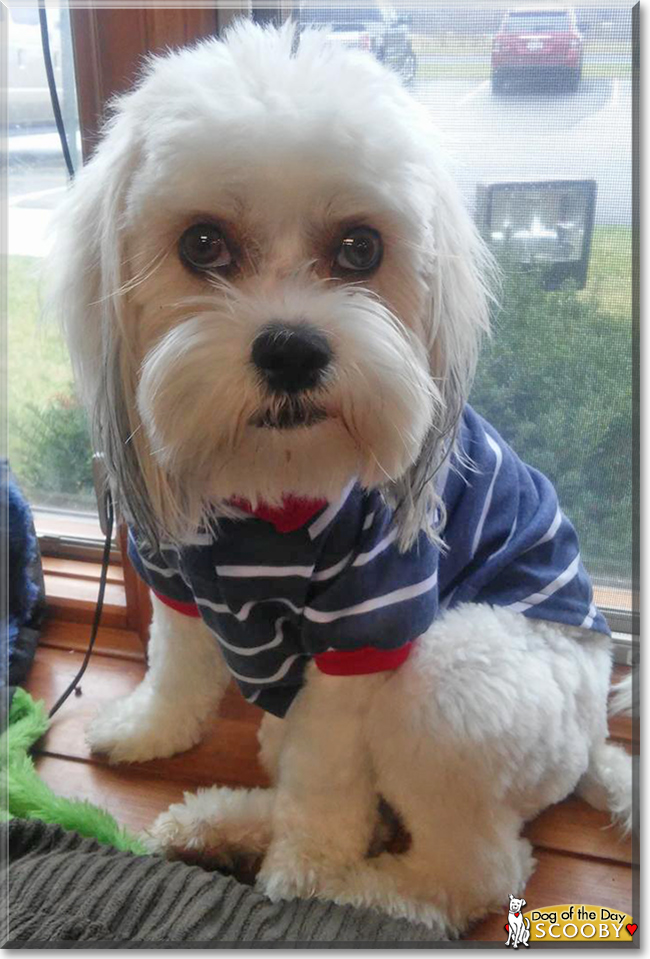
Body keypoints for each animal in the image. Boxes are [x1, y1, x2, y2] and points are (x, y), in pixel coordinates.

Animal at [49, 20, 628, 936]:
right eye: (202, 243)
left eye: (361, 248)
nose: (291, 348)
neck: (265, 493)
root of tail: (595, 739)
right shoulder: (173, 571)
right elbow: (175, 663)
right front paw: (148, 727)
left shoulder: (368, 621)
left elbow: (325, 782)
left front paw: (305, 871)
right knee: (304, 768)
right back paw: (220, 821)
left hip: (449, 677)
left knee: (474, 868)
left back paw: (351, 885)